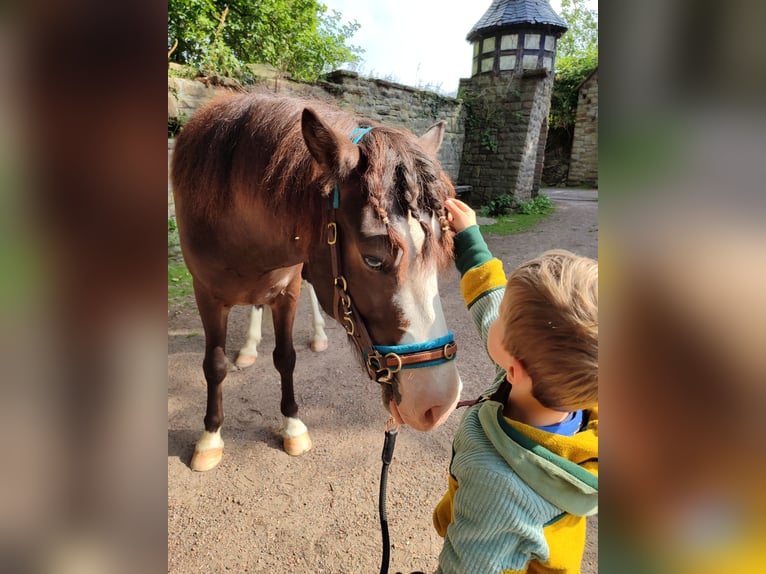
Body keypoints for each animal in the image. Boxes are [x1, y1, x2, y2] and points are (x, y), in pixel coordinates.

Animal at [172, 93, 462, 472]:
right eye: (373, 258)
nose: (439, 401)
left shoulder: (288, 290)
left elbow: (285, 357)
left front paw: (292, 427)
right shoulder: (206, 295)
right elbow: (215, 365)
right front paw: (210, 439)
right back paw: (249, 348)